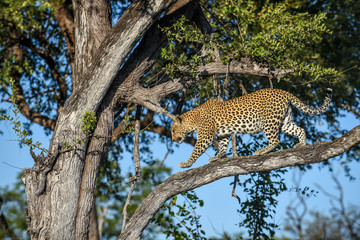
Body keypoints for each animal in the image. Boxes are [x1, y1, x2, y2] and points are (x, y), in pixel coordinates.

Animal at [171, 87, 332, 168]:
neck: (194, 119)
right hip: (285, 121)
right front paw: (217, 157)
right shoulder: (223, 133)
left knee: (275, 140)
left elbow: (196, 150)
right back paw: (302, 144)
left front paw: (186, 163)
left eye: (172, 130)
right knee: (300, 129)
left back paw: (261, 151)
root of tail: (283, 91)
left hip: (269, 121)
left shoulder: (205, 135)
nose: (172, 139)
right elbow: (223, 146)